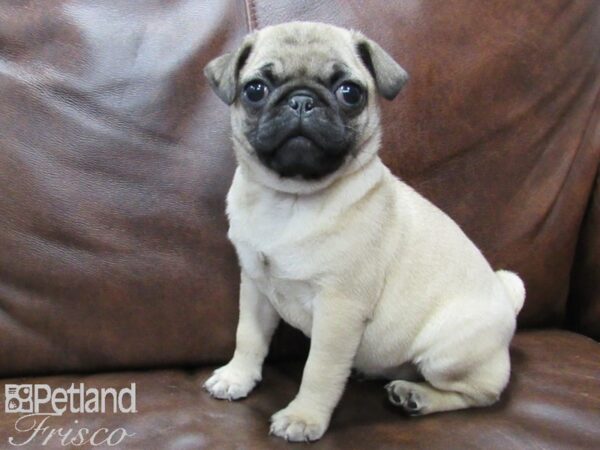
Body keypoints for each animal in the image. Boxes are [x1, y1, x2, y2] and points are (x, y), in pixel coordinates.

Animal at [202, 22, 524, 442]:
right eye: (255, 89)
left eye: (350, 92)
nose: (301, 100)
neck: (290, 198)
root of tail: (507, 302)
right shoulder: (256, 287)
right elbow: (249, 337)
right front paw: (238, 377)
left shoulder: (339, 309)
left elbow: (319, 369)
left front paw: (304, 417)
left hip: (446, 352)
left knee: (479, 395)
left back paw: (417, 396)